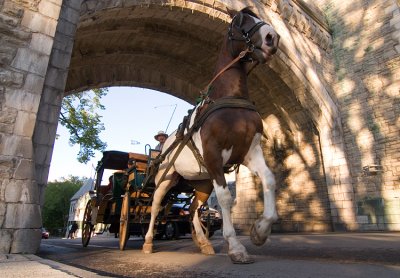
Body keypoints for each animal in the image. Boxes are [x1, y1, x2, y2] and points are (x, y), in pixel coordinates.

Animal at [143, 5, 278, 262]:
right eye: (240, 21)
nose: (272, 37)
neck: (230, 98)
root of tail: (165, 146)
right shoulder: (214, 155)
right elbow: (225, 197)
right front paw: (235, 247)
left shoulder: (250, 152)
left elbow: (269, 179)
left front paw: (260, 230)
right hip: (165, 178)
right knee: (155, 206)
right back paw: (147, 243)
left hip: (202, 181)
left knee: (193, 208)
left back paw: (203, 242)